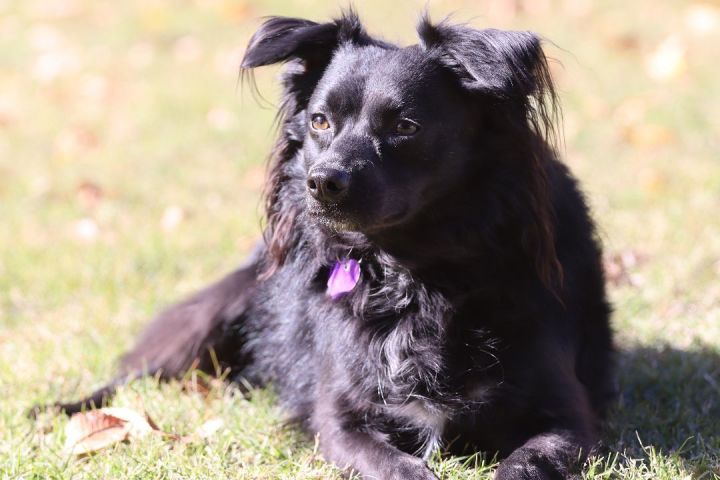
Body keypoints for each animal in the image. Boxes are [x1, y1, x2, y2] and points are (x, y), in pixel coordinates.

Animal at [57, 11, 620, 480]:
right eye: (320, 121)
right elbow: (397, 467)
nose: (322, 183)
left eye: (406, 125)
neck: (412, 271)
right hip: (221, 307)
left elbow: (527, 461)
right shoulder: (340, 419)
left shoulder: (568, 416)